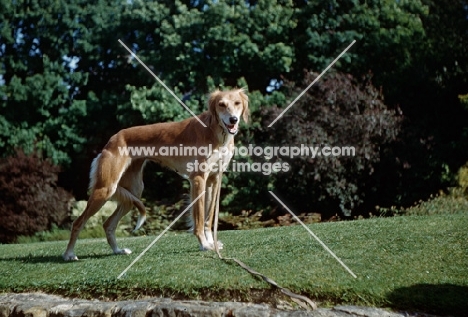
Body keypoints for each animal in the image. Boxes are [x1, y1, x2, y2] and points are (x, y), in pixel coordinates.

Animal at [65, 88, 252, 260]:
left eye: (237, 103)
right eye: (221, 105)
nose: (233, 119)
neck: (215, 132)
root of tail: (113, 139)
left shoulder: (214, 179)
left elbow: (208, 218)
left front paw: (212, 244)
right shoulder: (198, 179)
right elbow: (199, 219)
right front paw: (204, 244)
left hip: (132, 192)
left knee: (108, 224)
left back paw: (118, 250)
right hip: (105, 189)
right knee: (78, 222)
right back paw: (69, 254)